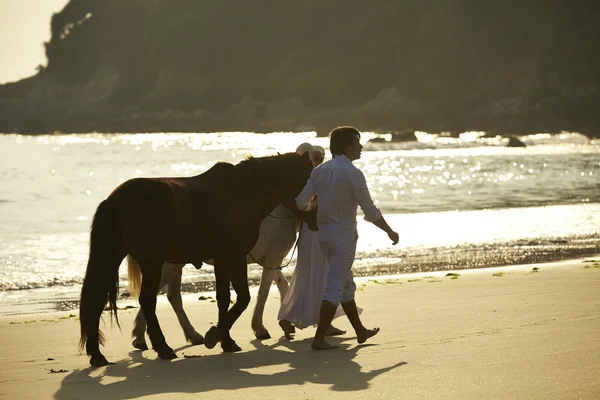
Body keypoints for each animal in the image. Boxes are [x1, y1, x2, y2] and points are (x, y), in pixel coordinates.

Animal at [78, 152, 314, 366]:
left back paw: (98, 354)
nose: (315, 215)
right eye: (309, 178)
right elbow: (244, 298)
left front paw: (226, 341)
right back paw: (162, 347)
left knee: (99, 300)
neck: (241, 193)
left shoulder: (222, 260)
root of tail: (114, 200)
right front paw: (215, 335)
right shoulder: (235, 257)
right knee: (148, 300)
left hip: (116, 257)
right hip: (153, 263)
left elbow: (223, 298)